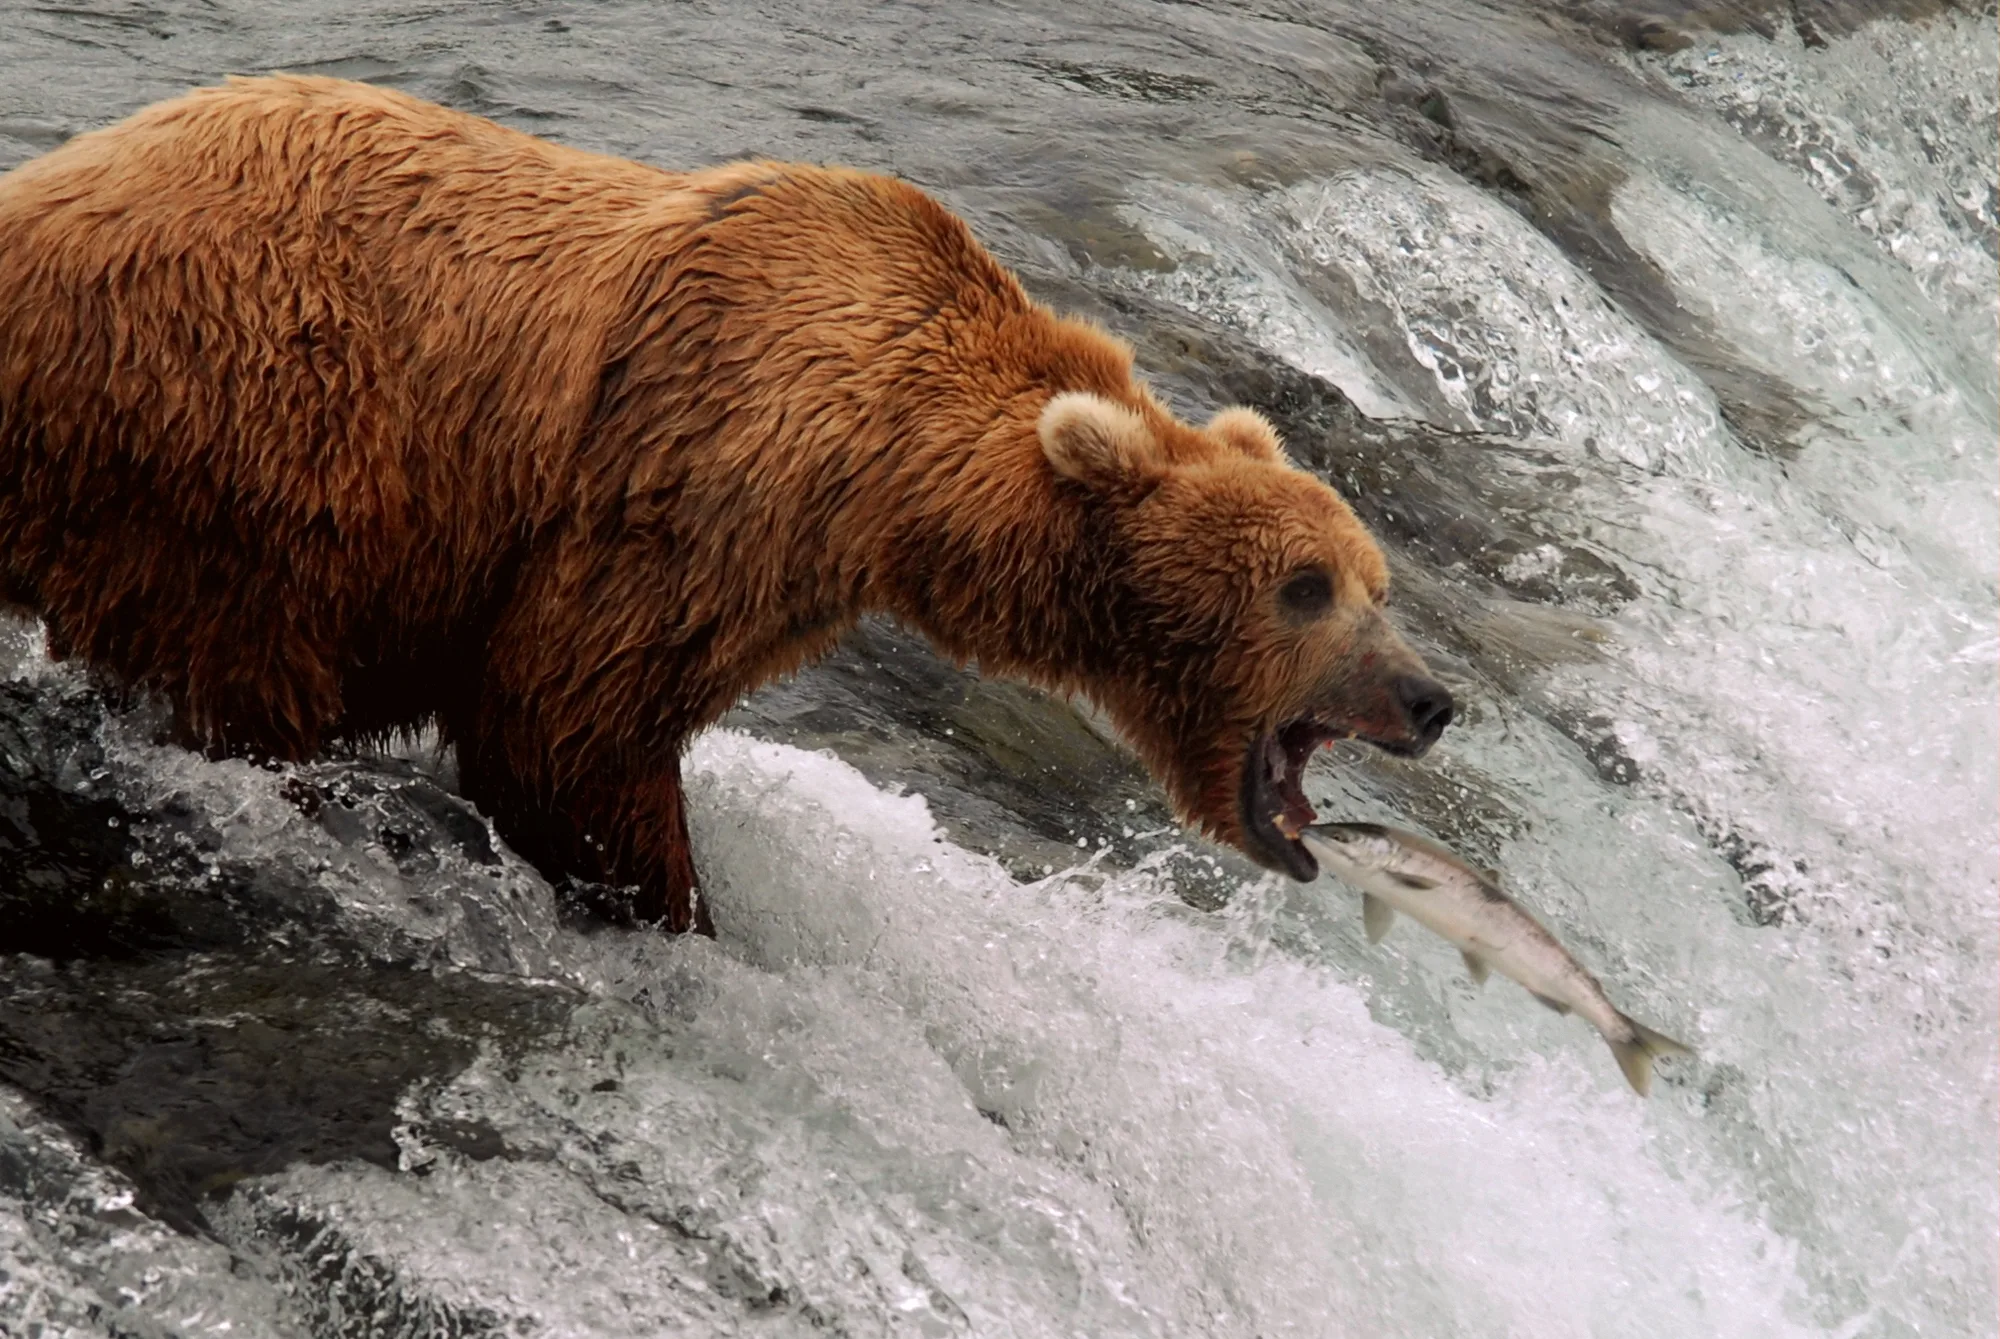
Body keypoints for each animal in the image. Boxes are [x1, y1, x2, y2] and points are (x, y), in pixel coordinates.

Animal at [0, 76, 1453, 935]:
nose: (1430, 697)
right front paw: (674, 904)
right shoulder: (689, 474)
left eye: (1377, 580)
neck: (892, 470)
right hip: (256, 408)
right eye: (1306, 586)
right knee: (250, 658)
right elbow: (563, 715)